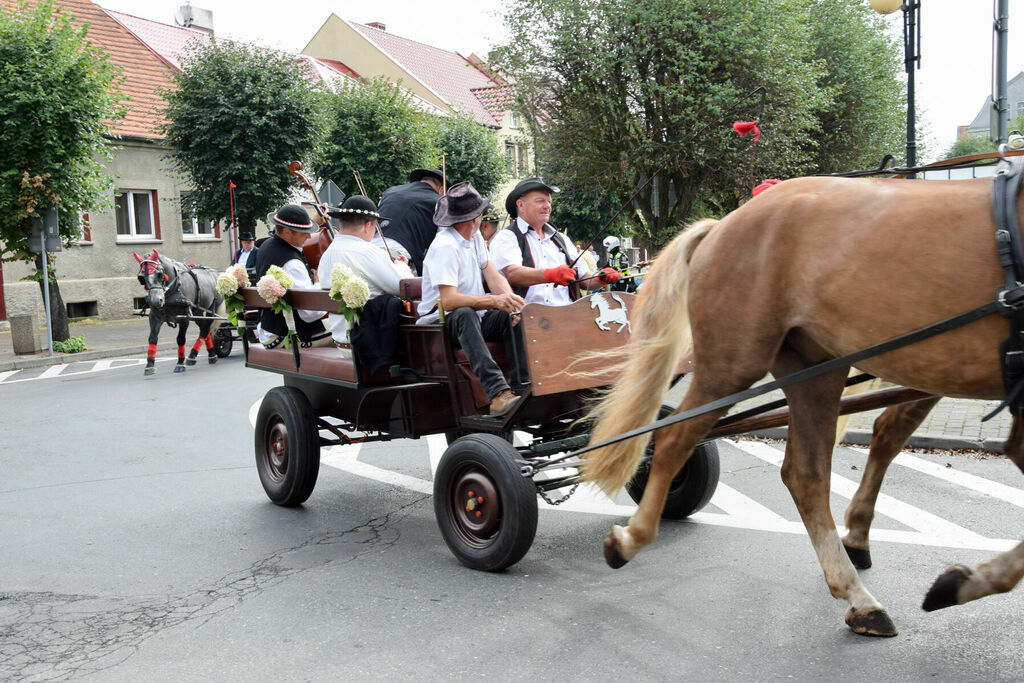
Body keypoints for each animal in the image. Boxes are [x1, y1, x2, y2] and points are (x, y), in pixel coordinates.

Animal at [581, 174, 1024, 638]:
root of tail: (723, 224)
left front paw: (961, 582)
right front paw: (962, 583)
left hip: (818, 369)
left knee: (807, 472)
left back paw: (857, 594)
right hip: (732, 364)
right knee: (672, 440)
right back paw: (630, 539)